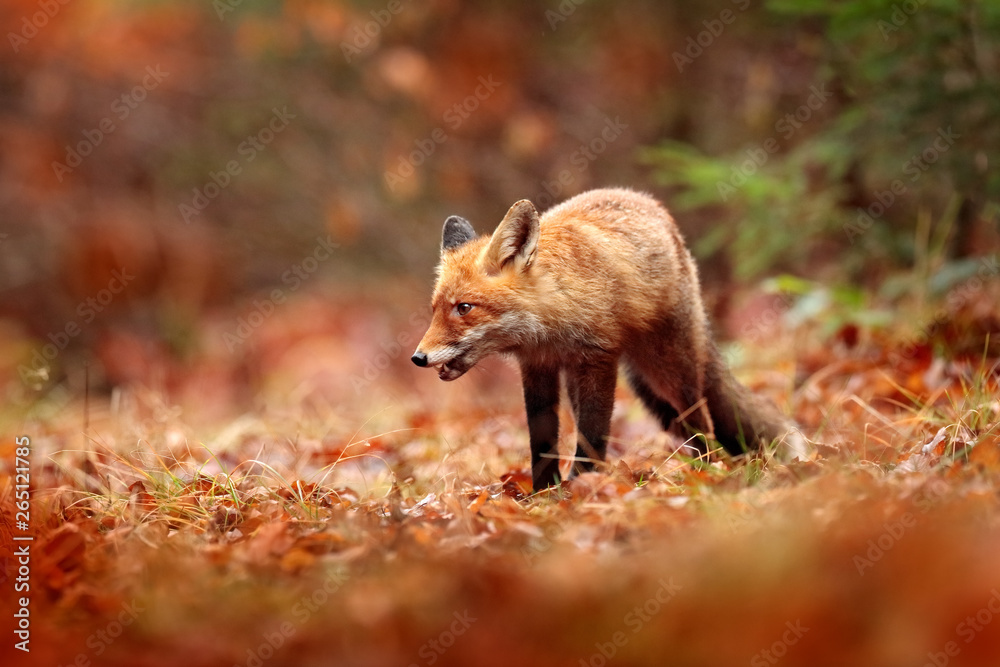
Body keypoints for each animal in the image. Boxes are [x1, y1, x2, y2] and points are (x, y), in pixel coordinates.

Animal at [412, 188, 805, 492]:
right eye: (434, 310)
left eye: (464, 308)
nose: (418, 358)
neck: (549, 326)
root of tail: (653, 205)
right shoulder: (537, 367)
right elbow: (542, 440)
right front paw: (544, 492)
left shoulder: (599, 358)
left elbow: (593, 433)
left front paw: (581, 487)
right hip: (625, 383)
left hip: (669, 370)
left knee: (700, 416)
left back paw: (708, 469)